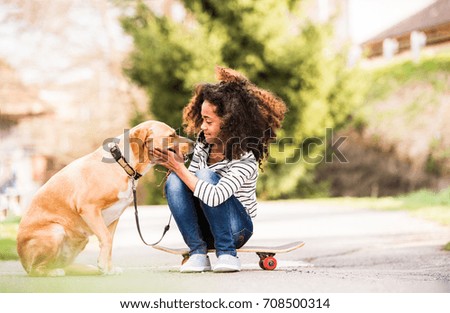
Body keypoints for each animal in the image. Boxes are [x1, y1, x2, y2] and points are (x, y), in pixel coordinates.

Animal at [16, 120, 192, 276]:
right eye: (171, 135)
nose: (194, 142)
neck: (122, 163)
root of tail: (22, 262)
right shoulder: (89, 208)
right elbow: (106, 238)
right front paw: (103, 265)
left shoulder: (114, 217)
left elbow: (110, 241)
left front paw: (108, 269)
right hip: (56, 231)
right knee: (36, 269)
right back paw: (52, 272)